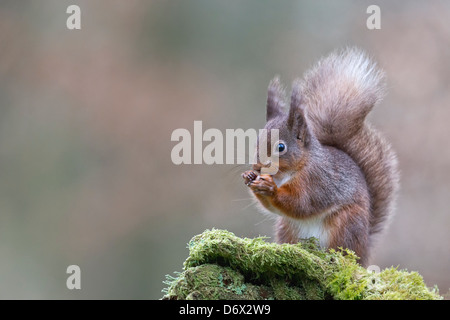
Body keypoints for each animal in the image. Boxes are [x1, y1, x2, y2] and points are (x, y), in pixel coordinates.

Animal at [244, 48, 400, 268]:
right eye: (256, 142)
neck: (291, 171)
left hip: (346, 224)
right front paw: (250, 177)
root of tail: (364, 252)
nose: (257, 167)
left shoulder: (317, 181)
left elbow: (302, 204)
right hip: (287, 228)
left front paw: (270, 188)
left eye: (281, 147)